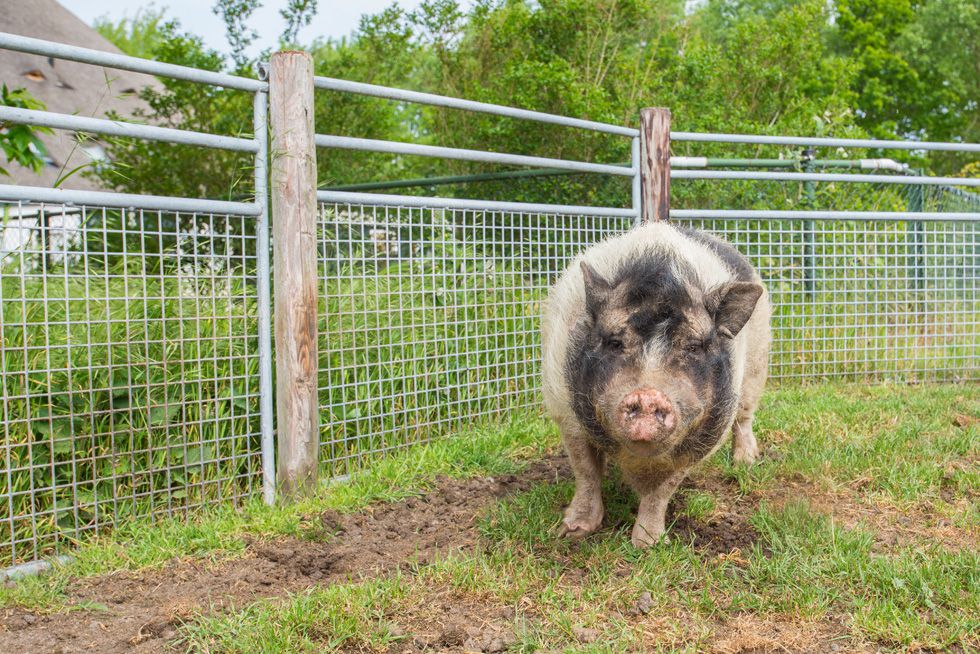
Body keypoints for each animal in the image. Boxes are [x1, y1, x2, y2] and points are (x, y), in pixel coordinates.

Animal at [540, 223, 768, 552]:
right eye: (614, 342)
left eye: (694, 346)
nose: (647, 396)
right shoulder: (564, 409)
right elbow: (585, 471)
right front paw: (571, 532)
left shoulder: (703, 439)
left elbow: (662, 490)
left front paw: (648, 545)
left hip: (757, 366)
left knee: (745, 417)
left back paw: (746, 462)